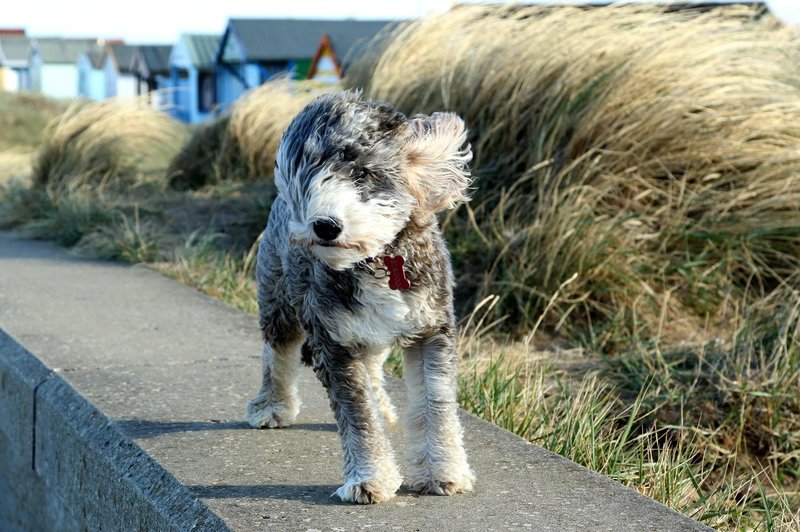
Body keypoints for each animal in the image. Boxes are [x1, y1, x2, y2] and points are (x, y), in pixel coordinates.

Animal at [245, 90, 476, 502]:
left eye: (363, 173)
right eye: (306, 180)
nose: (325, 225)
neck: (378, 261)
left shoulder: (432, 332)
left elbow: (436, 402)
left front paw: (445, 472)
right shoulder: (335, 342)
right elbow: (357, 412)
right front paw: (370, 479)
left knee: (372, 369)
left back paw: (385, 410)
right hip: (279, 301)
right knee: (278, 352)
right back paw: (271, 407)